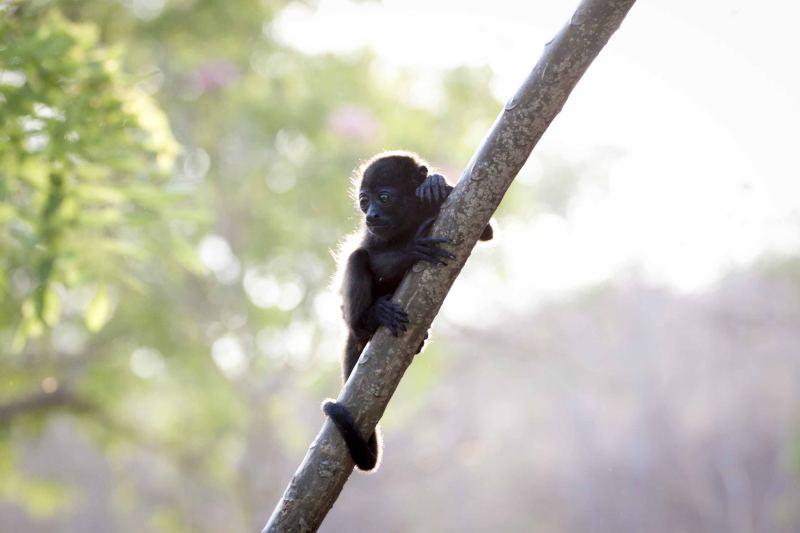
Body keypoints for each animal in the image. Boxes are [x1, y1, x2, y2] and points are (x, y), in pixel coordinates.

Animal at [322, 150, 490, 470]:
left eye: (384, 198)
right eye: (364, 201)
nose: (371, 215)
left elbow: (483, 229)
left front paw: (435, 183)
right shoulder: (373, 234)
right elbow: (370, 256)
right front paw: (413, 247)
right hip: (350, 318)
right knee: (356, 258)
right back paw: (371, 319)